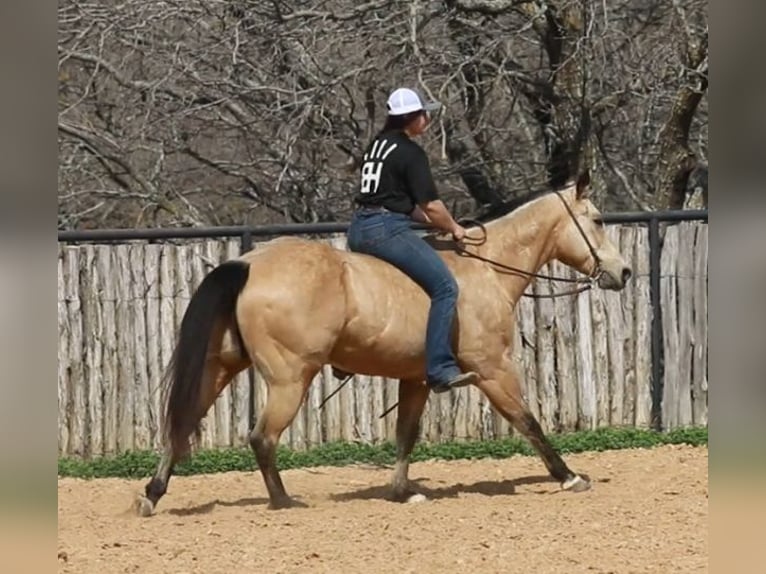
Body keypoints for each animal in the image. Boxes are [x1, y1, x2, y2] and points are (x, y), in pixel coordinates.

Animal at [135, 171, 632, 516]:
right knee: (262, 437)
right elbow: (528, 421)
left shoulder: (417, 379)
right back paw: (283, 501)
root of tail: (249, 261)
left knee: (180, 426)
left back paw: (152, 495)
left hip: (220, 368)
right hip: (290, 378)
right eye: (598, 220)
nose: (623, 272)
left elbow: (406, 434)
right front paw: (568, 476)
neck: (487, 268)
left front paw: (402, 492)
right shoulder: (494, 368)